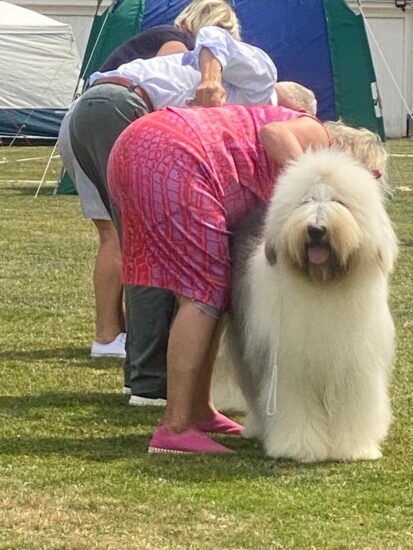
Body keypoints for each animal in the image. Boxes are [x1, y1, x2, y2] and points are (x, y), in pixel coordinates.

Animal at [222, 148, 398, 463]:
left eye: (338, 201)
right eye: (305, 201)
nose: (316, 229)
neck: (323, 285)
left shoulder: (356, 364)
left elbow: (354, 405)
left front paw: (354, 448)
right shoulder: (291, 365)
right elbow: (297, 406)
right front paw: (299, 447)